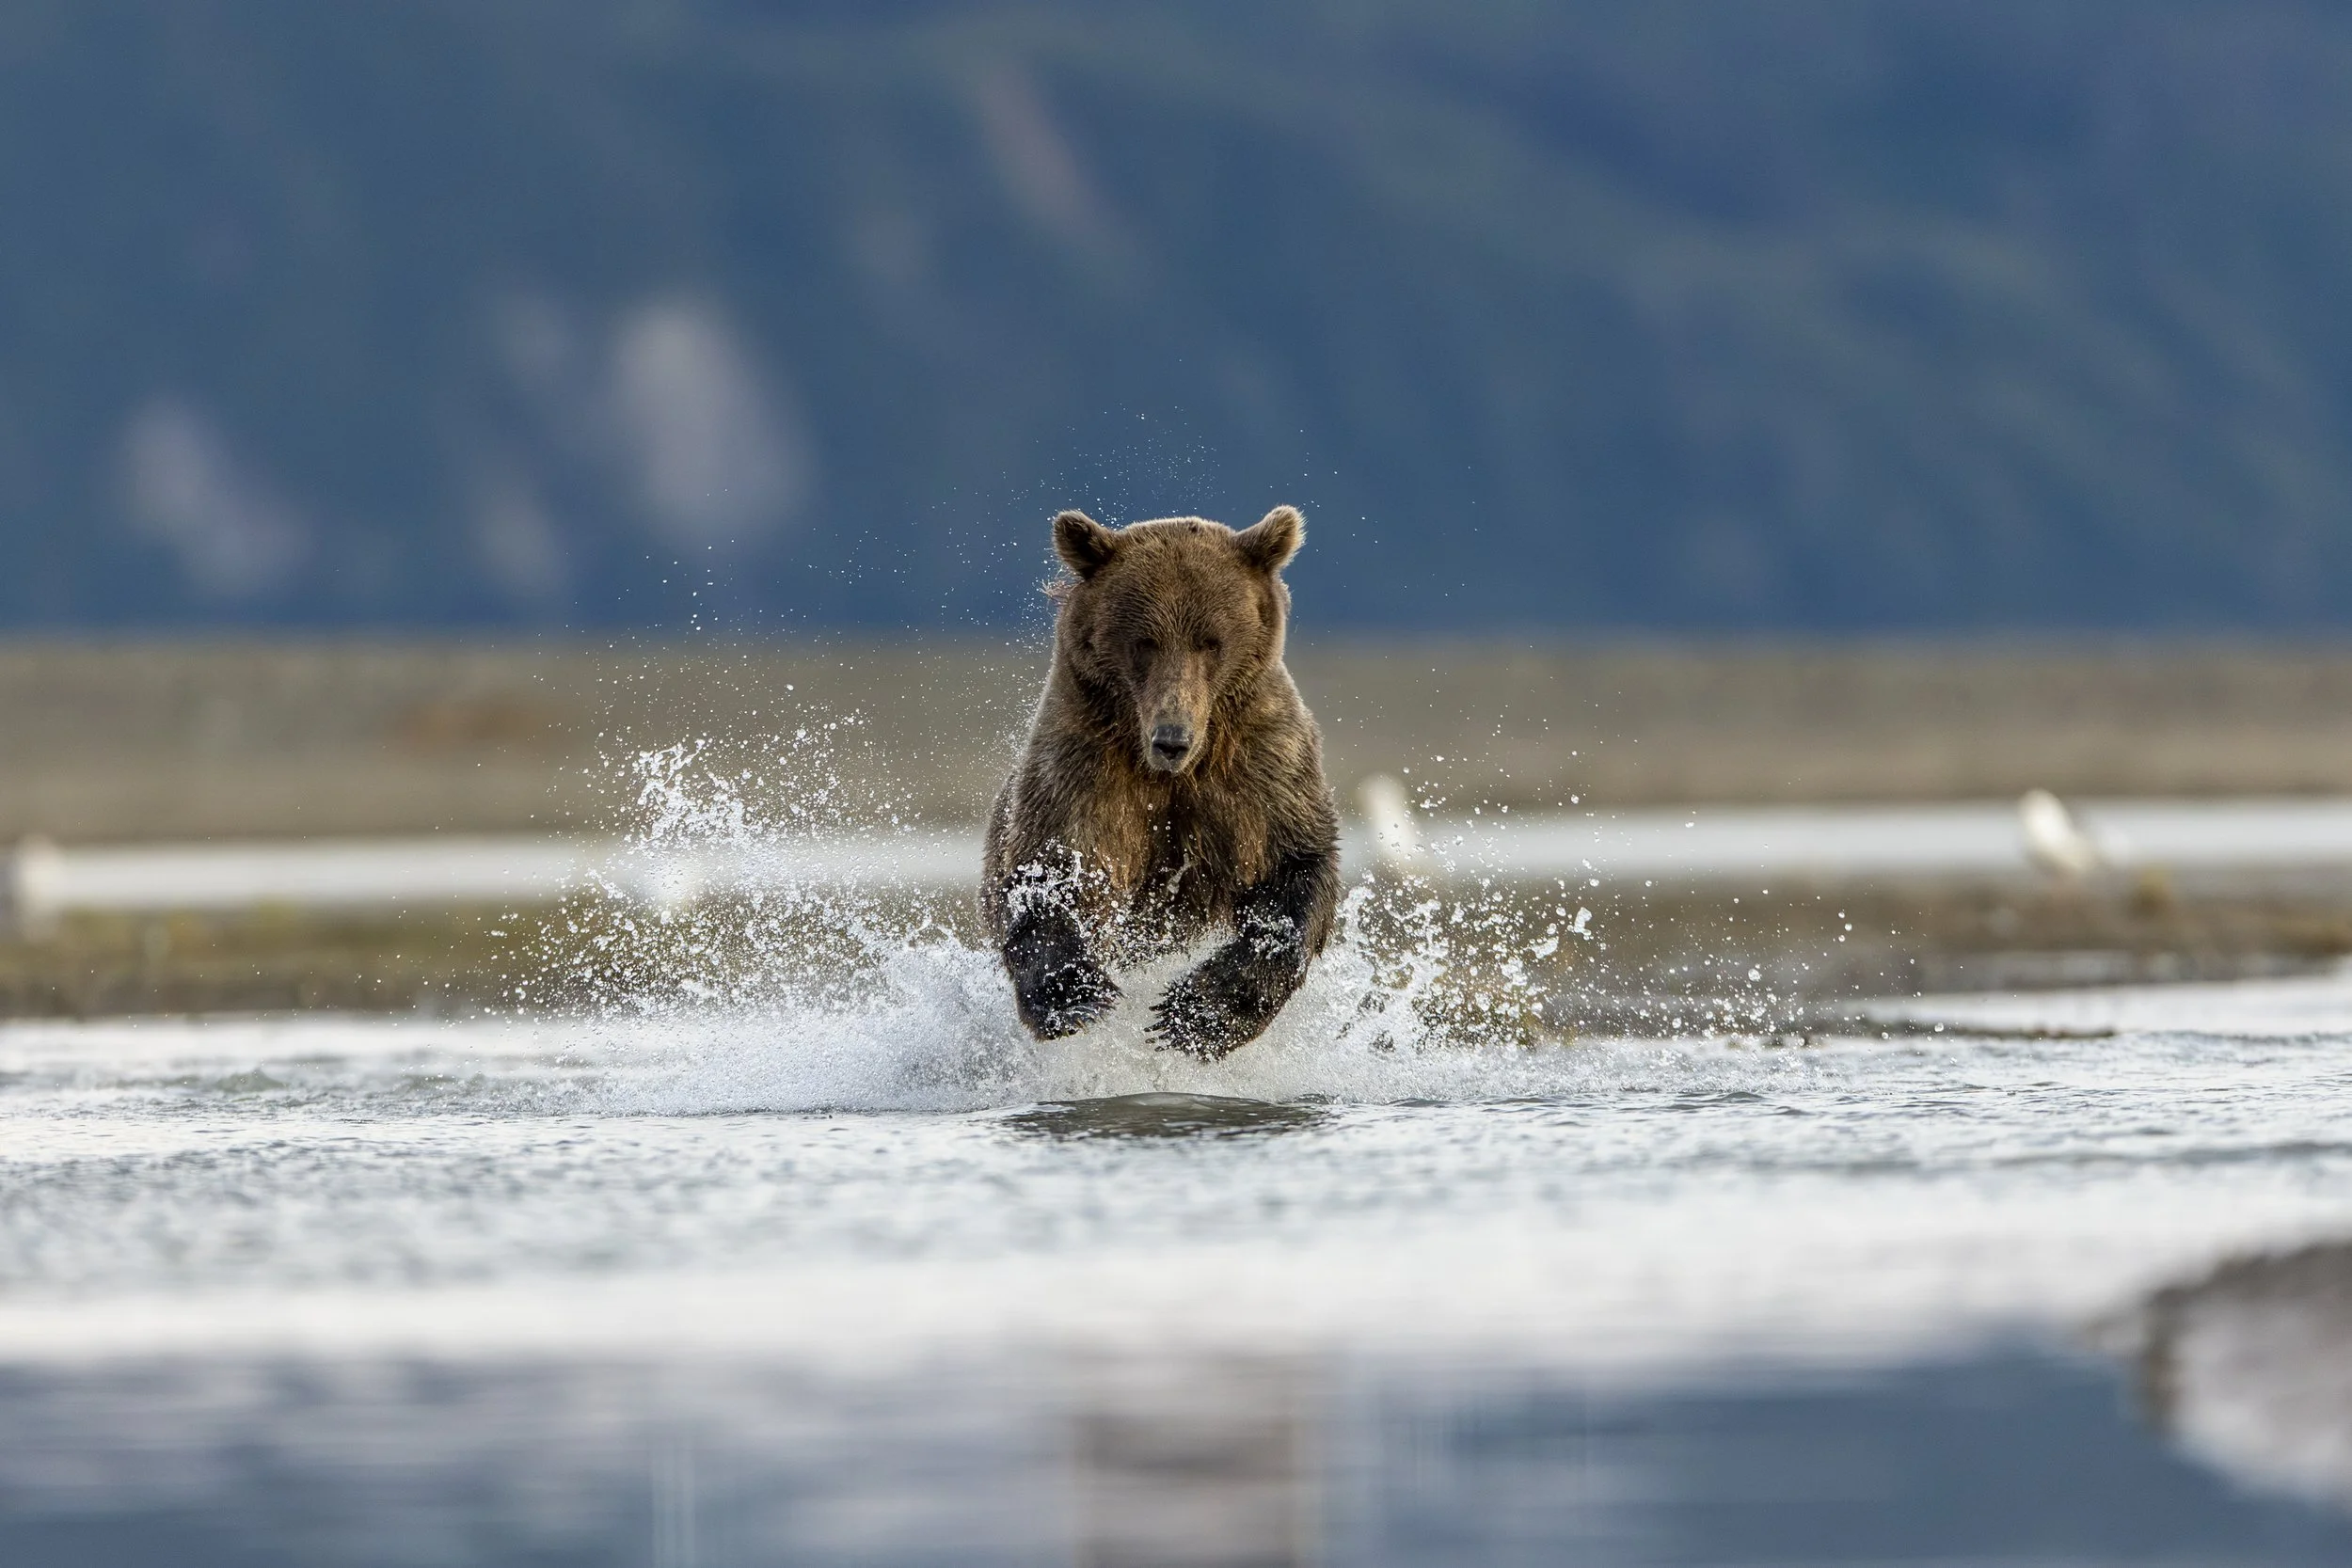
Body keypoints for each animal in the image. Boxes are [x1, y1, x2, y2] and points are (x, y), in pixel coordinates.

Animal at [981, 505, 1342, 1058]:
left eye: (1210, 641)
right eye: (1144, 643)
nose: (1172, 738)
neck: (1176, 773)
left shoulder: (1261, 769)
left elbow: (1295, 868)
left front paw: (1195, 1012)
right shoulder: (1082, 770)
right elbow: (1046, 874)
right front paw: (1078, 997)